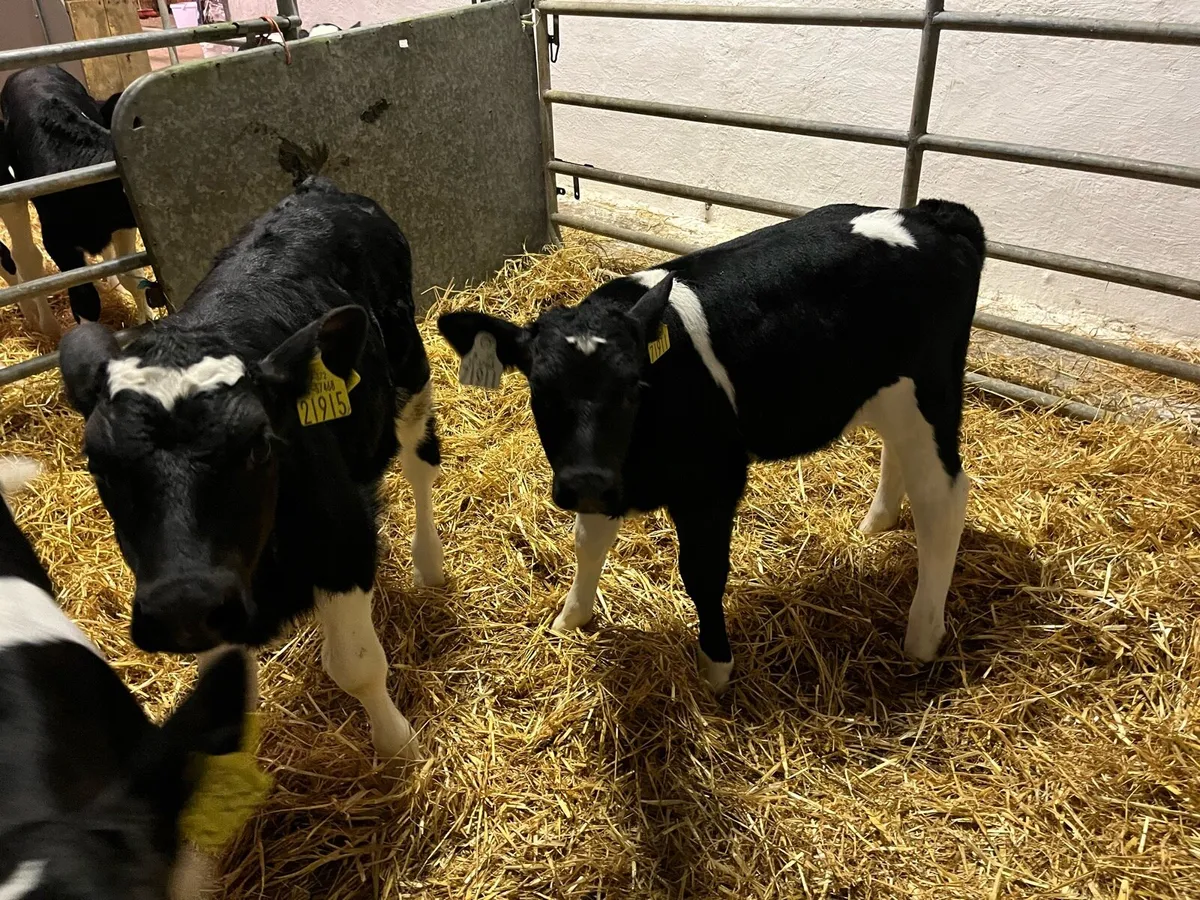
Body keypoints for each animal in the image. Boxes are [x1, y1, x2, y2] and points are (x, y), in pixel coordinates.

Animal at [0, 66, 149, 336]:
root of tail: (28, 69)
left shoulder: (123, 227)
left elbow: (133, 275)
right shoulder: (58, 244)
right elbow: (84, 298)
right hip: (11, 197)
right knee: (25, 256)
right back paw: (46, 326)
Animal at [57, 176, 443, 762]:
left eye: (261, 447)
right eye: (96, 466)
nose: (184, 605)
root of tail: (317, 188)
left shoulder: (344, 541)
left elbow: (356, 666)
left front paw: (399, 748)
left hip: (409, 369)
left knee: (421, 462)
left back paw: (430, 564)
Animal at [438, 199, 985, 692]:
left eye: (634, 387)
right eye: (541, 392)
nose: (585, 483)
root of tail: (933, 213)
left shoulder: (711, 483)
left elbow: (702, 573)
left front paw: (716, 667)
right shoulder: (606, 478)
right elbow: (587, 542)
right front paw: (571, 618)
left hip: (931, 391)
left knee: (943, 498)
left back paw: (922, 636)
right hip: (891, 396)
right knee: (900, 456)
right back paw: (876, 524)